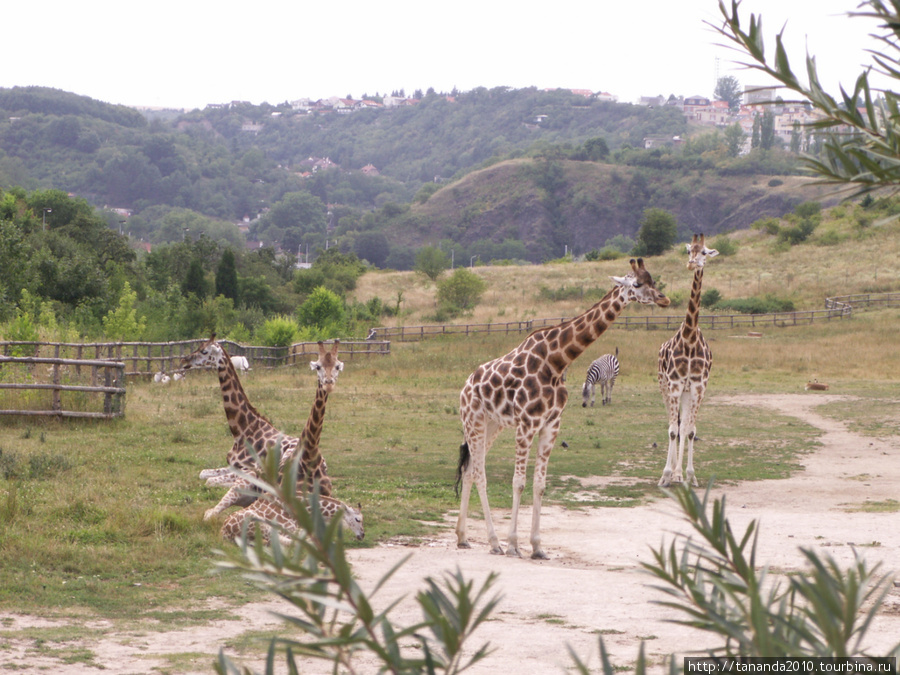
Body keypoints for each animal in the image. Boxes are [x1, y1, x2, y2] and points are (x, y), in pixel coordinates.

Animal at [181, 338, 342, 524]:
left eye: (204, 351)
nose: (185, 361)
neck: (242, 428)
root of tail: (323, 462)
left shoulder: (245, 467)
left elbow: (210, 480)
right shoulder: (233, 465)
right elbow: (203, 474)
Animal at [458, 258, 668, 560]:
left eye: (653, 280)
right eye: (638, 284)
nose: (664, 299)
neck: (556, 362)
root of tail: (465, 387)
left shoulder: (551, 425)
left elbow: (540, 484)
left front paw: (537, 547)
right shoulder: (526, 424)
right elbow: (518, 482)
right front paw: (513, 545)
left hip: (492, 425)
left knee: (468, 470)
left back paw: (462, 537)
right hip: (473, 421)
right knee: (478, 474)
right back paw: (494, 542)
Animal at [652, 235, 716, 488]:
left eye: (705, 252)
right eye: (689, 250)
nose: (692, 264)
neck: (689, 339)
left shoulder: (698, 387)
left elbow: (689, 430)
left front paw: (690, 476)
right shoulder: (674, 385)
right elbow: (673, 430)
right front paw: (666, 475)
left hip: (688, 392)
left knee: (683, 425)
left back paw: (679, 474)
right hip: (664, 386)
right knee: (673, 425)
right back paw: (672, 474)